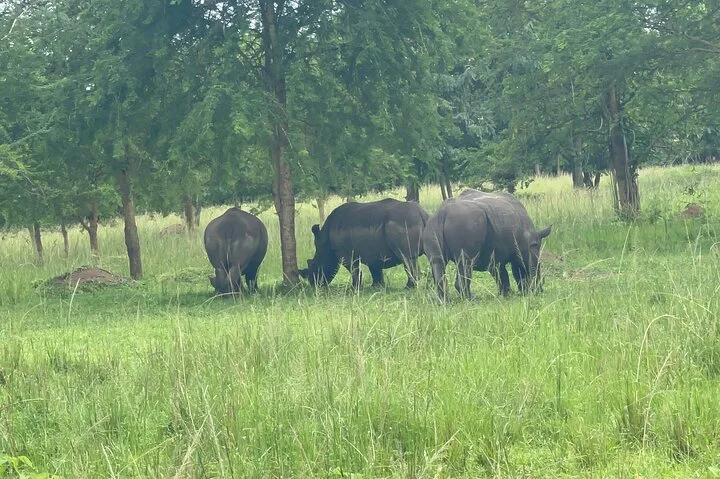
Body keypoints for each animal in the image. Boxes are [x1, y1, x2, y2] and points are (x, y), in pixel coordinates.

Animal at [299, 198, 429, 289]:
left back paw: (408, 288)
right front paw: (377, 286)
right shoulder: (374, 252)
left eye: (314, 265)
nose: (314, 284)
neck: (324, 244)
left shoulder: (345, 254)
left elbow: (354, 270)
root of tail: (422, 214)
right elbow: (375, 270)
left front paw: (354, 288)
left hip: (404, 222)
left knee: (406, 257)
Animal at [422, 189, 551, 301]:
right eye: (539, 269)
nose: (538, 290)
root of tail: (443, 212)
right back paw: (471, 299)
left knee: (437, 261)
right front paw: (512, 293)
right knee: (465, 262)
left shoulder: (495, 255)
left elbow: (502, 274)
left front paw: (506, 294)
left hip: (431, 225)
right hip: (466, 223)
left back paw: (444, 301)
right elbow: (512, 271)